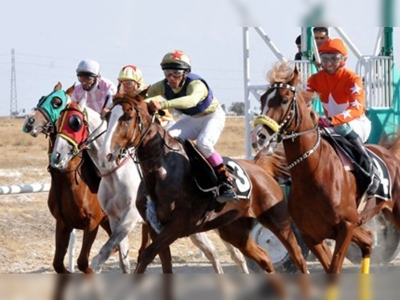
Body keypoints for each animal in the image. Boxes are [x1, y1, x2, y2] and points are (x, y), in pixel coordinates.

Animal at [21, 81, 113, 272]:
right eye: (41, 98)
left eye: (57, 102)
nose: (29, 121)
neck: (67, 178)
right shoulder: (63, 223)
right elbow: (58, 263)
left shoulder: (92, 223)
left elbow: (83, 262)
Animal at [50, 98, 250, 274]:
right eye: (55, 124)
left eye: (74, 123)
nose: (56, 157)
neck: (115, 173)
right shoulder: (114, 218)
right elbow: (123, 260)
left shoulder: (130, 216)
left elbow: (105, 251)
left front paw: (96, 267)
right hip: (194, 228)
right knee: (212, 252)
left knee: (236, 255)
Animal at [97, 92, 310, 276]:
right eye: (107, 116)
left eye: (127, 117)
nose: (104, 154)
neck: (161, 171)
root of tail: (259, 167)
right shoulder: (155, 228)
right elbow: (162, 264)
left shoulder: (177, 226)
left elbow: (145, 257)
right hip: (234, 231)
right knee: (264, 257)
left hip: (277, 220)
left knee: (298, 256)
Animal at [252, 62, 400, 276]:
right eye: (263, 98)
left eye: (284, 100)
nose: (258, 136)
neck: (313, 174)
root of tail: (391, 154)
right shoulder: (311, 234)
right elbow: (329, 266)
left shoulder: (346, 226)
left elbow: (334, 267)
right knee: (368, 239)